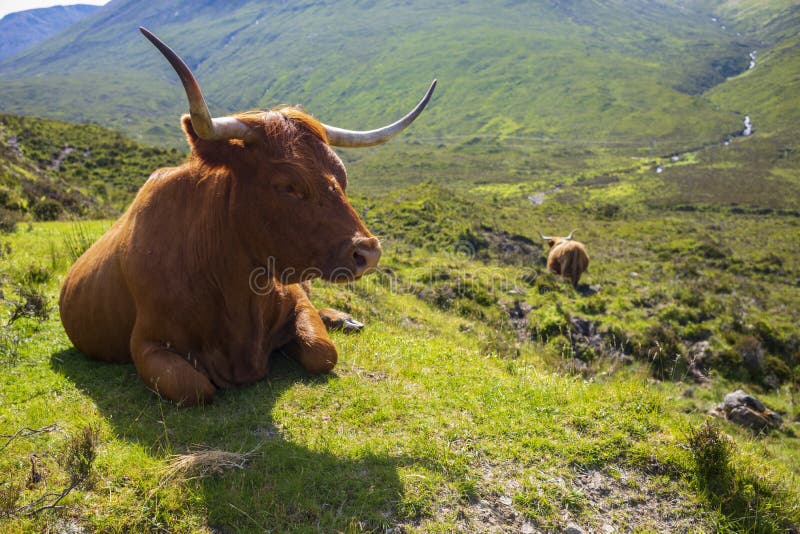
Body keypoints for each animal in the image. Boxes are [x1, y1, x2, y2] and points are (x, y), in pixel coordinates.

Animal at [60, 27, 438, 406]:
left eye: (342, 177)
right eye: (288, 185)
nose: (369, 252)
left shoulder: (295, 300)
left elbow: (322, 351)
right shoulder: (147, 343)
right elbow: (193, 387)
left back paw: (345, 319)